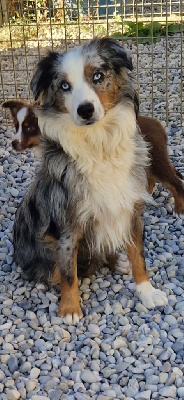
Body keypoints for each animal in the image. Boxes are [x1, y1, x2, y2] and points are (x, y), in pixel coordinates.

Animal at [2, 98, 183, 214]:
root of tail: (159, 125)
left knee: (175, 183)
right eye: (16, 126)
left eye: (29, 127)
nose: (13, 143)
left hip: (156, 159)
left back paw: (178, 210)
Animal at [13, 38, 171, 324]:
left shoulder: (131, 209)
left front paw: (146, 292)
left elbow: (139, 256)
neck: (99, 145)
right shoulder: (67, 225)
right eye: (64, 86)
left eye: (97, 76)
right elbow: (68, 272)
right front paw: (70, 309)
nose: (85, 110)